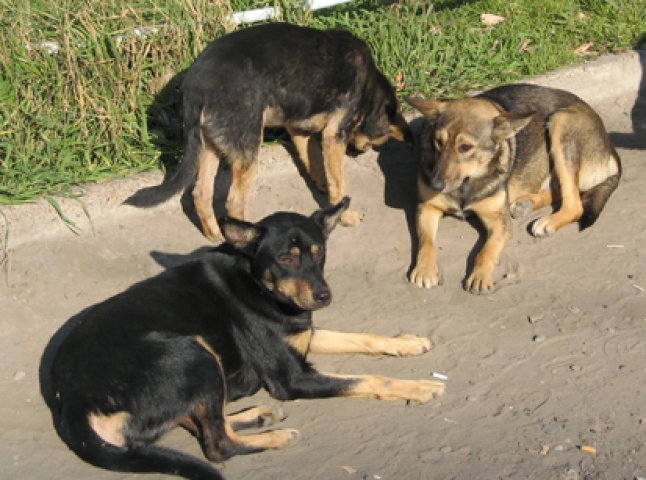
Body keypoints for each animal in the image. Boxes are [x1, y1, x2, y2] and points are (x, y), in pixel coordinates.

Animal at [49, 197, 446, 478]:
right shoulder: (293, 378)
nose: (324, 296)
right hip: (193, 353)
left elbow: (361, 336)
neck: (258, 284)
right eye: (287, 258)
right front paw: (418, 387)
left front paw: (407, 342)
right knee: (217, 444)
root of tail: (69, 401)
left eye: (320, 253)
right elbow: (369, 378)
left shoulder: (302, 336)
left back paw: (256, 416)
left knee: (206, 419)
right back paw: (275, 436)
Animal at [124, 22, 412, 242]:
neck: (371, 87)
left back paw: (214, 235)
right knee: (233, 202)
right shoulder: (334, 136)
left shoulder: (298, 128)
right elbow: (338, 183)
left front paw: (319, 182)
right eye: (379, 140)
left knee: (201, 193)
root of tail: (194, 85)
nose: (357, 154)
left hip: (210, 146)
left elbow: (313, 159)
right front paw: (346, 215)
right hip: (249, 148)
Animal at [410, 84, 624, 294]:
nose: (435, 185)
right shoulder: (426, 207)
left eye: (465, 147)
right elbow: (426, 242)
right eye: (438, 142)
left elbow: (486, 251)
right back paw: (526, 203)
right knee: (562, 190)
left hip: (560, 122)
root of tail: (610, 147)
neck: (467, 182)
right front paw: (424, 269)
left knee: (575, 204)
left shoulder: (500, 222)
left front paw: (480, 275)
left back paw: (547, 221)